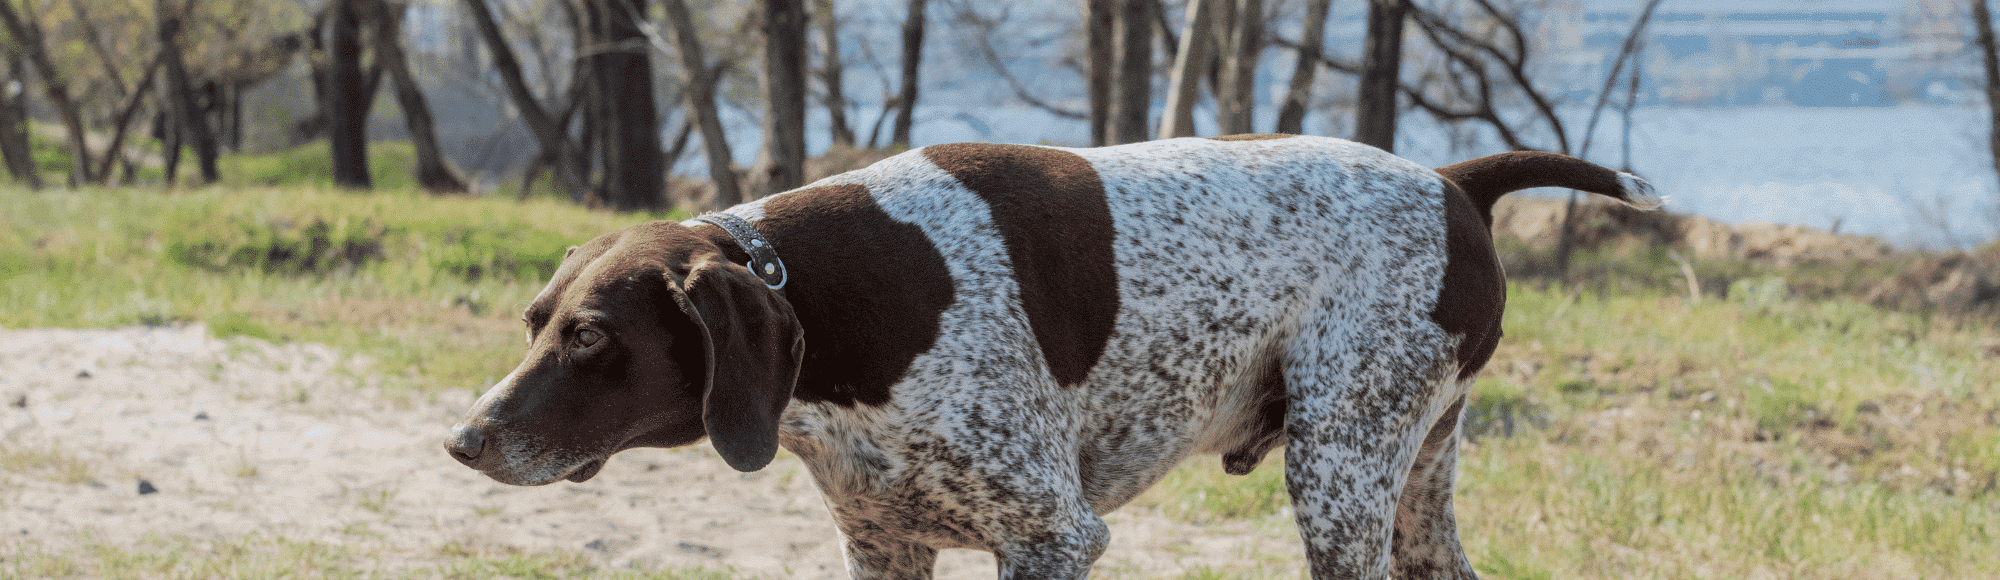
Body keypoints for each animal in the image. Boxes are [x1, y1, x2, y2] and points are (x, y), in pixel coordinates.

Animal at [446, 135, 1664, 576]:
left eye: (590, 336)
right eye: (533, 320)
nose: (461, 441)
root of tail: (1452, 180)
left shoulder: (1050, 537)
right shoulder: (885, 547)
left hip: (1337, 475)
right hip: (1410, 482)